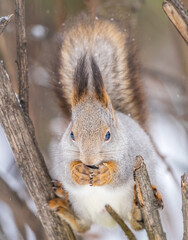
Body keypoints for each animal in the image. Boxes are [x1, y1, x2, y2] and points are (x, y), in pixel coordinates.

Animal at [47, 0, 162, 234]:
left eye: (108, 135)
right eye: (72, 134)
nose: (88, 160)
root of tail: (107, 220)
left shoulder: (130, 154)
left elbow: (121, 171)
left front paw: (106, 173)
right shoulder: (62, 152)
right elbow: (66, 168)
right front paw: (77, 171)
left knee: (135, 224)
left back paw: (138, 211)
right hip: (80, 204)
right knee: (83, 226)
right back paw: (63, 207)